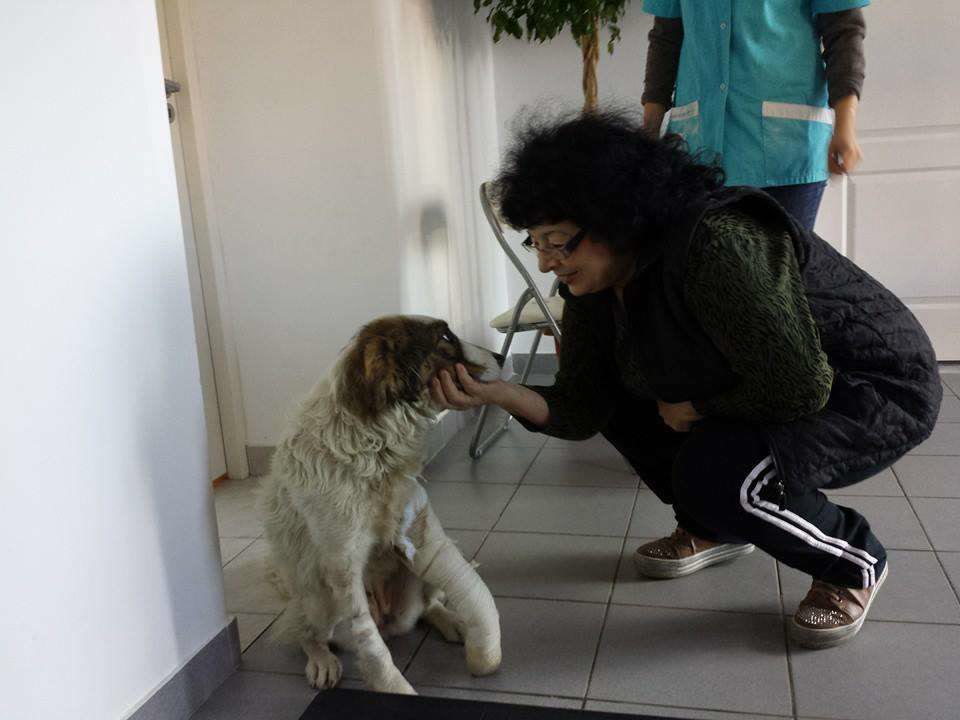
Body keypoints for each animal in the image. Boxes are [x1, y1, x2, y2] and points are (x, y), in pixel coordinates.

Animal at [259, 315, 503, 694]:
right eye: (445, 337)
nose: (501, 356)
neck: (372, 446)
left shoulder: (419, 530)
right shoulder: (341, 565)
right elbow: (369, 642)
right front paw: (392, 687)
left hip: (409, 595)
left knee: (426, 606)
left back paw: (453, 621)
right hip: (317, 599)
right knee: (306, 633)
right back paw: (321, 660)